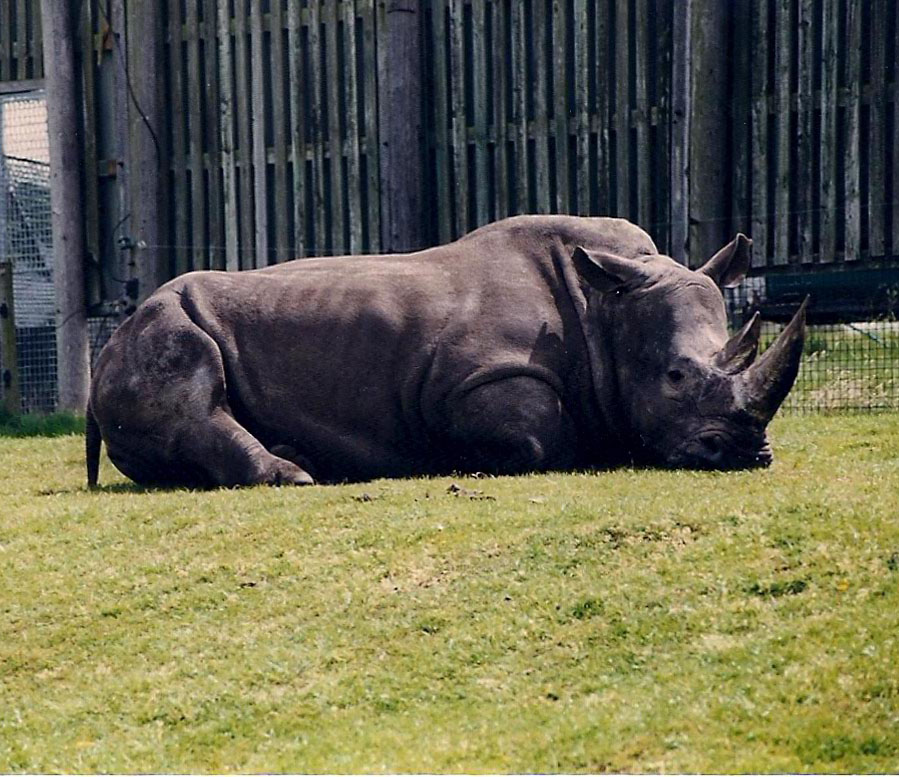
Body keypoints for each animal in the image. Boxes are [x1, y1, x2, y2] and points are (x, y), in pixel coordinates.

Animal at [86, 215, 806, 488]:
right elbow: (538, 440)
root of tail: (104, 350)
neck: (608, 305)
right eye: (676, 376)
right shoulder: (476, 377)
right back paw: (299, 474)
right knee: (194, 388)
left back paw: (306, 458)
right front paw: (456, 458)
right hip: (159, 327)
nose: (747, 453)